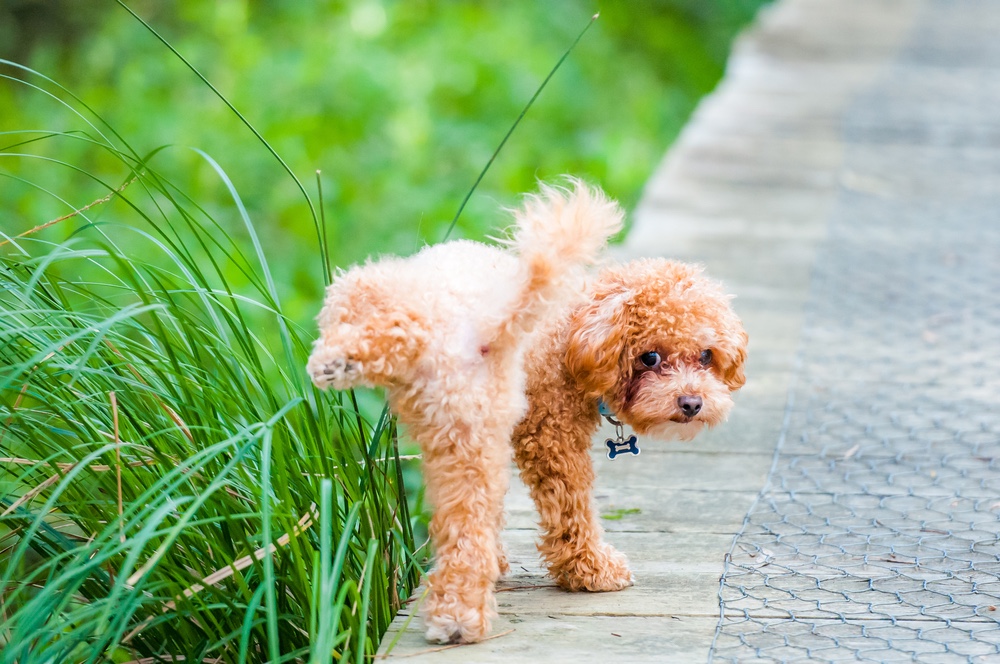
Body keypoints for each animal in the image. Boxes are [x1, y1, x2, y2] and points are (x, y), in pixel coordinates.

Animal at [304, 180, 620, 644]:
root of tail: (490, 328)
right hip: (468, 440)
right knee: (467, 533)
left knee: (391, 328)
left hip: (390, 302)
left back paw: (334, 362)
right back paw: (458, 617)